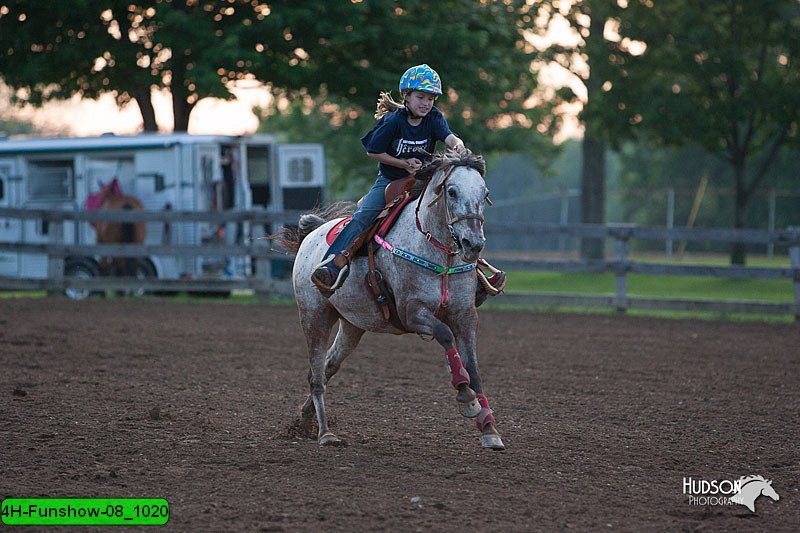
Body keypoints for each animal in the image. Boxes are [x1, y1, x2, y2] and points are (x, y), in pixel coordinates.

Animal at [282, 150, 504, 448]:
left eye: (485, 192)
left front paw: (489, 428)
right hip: (314, 316)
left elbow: (474, 369)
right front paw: (465, 397)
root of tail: (312, 235)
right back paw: (325, 433)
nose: (474, 244)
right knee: (316, 374)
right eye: (452, 191)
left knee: (328, 367)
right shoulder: (413, 312)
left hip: (353, 326)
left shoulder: (465, 316)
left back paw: (305, 419)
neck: (439, 254)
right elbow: (445, 335)